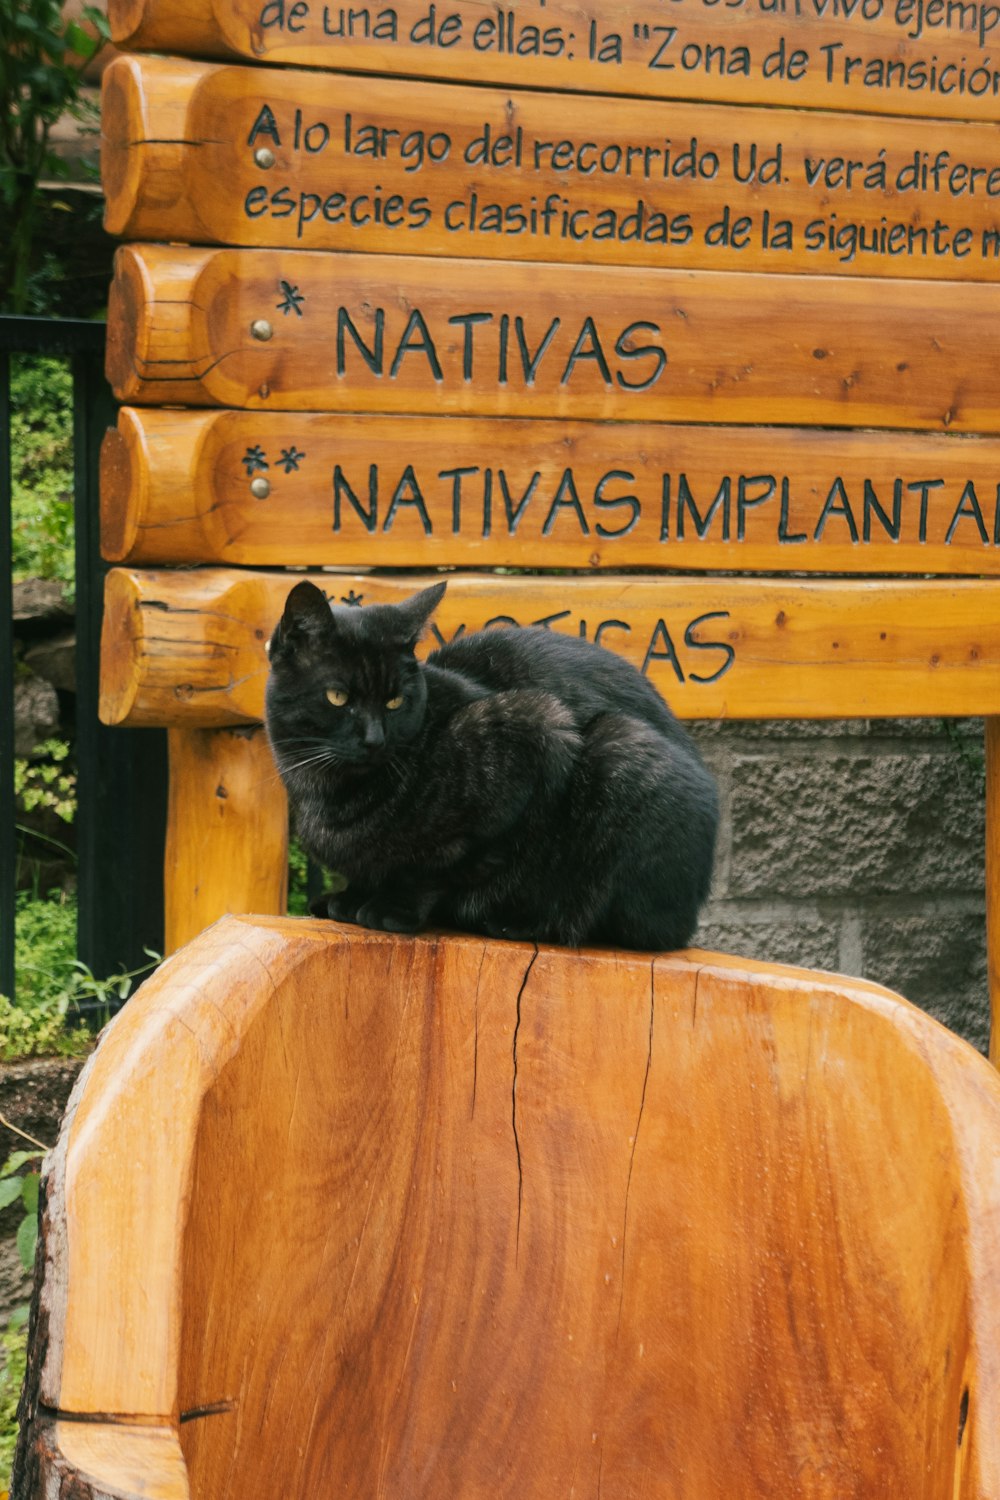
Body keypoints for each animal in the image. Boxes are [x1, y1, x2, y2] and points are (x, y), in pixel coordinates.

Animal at [265, 582, 719, 948]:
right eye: (337, 697)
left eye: (395, 700)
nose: (375, 739)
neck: (328, 795)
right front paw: (349, 898)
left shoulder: (539, 730)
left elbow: (442, 866)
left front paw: (390, 907)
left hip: (621, 745)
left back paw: (518, 922)